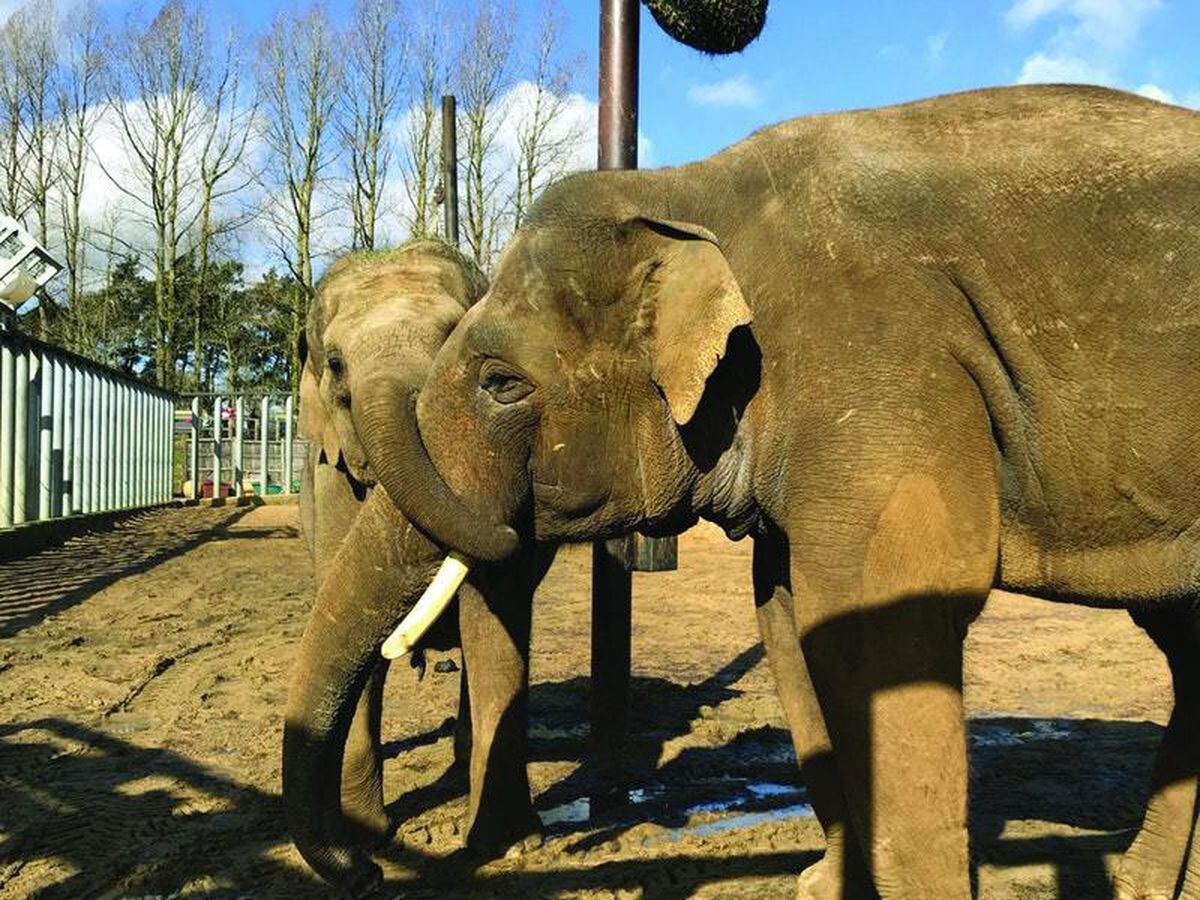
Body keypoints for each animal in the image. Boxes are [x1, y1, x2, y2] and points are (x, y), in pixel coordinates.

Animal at [369, 90, 1200, 900]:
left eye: (500, 383)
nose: (519, 845)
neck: (688, 188)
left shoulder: (876, 371)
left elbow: (885, 624)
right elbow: (791, 621)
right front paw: (820, 885)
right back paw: (1143, 886)